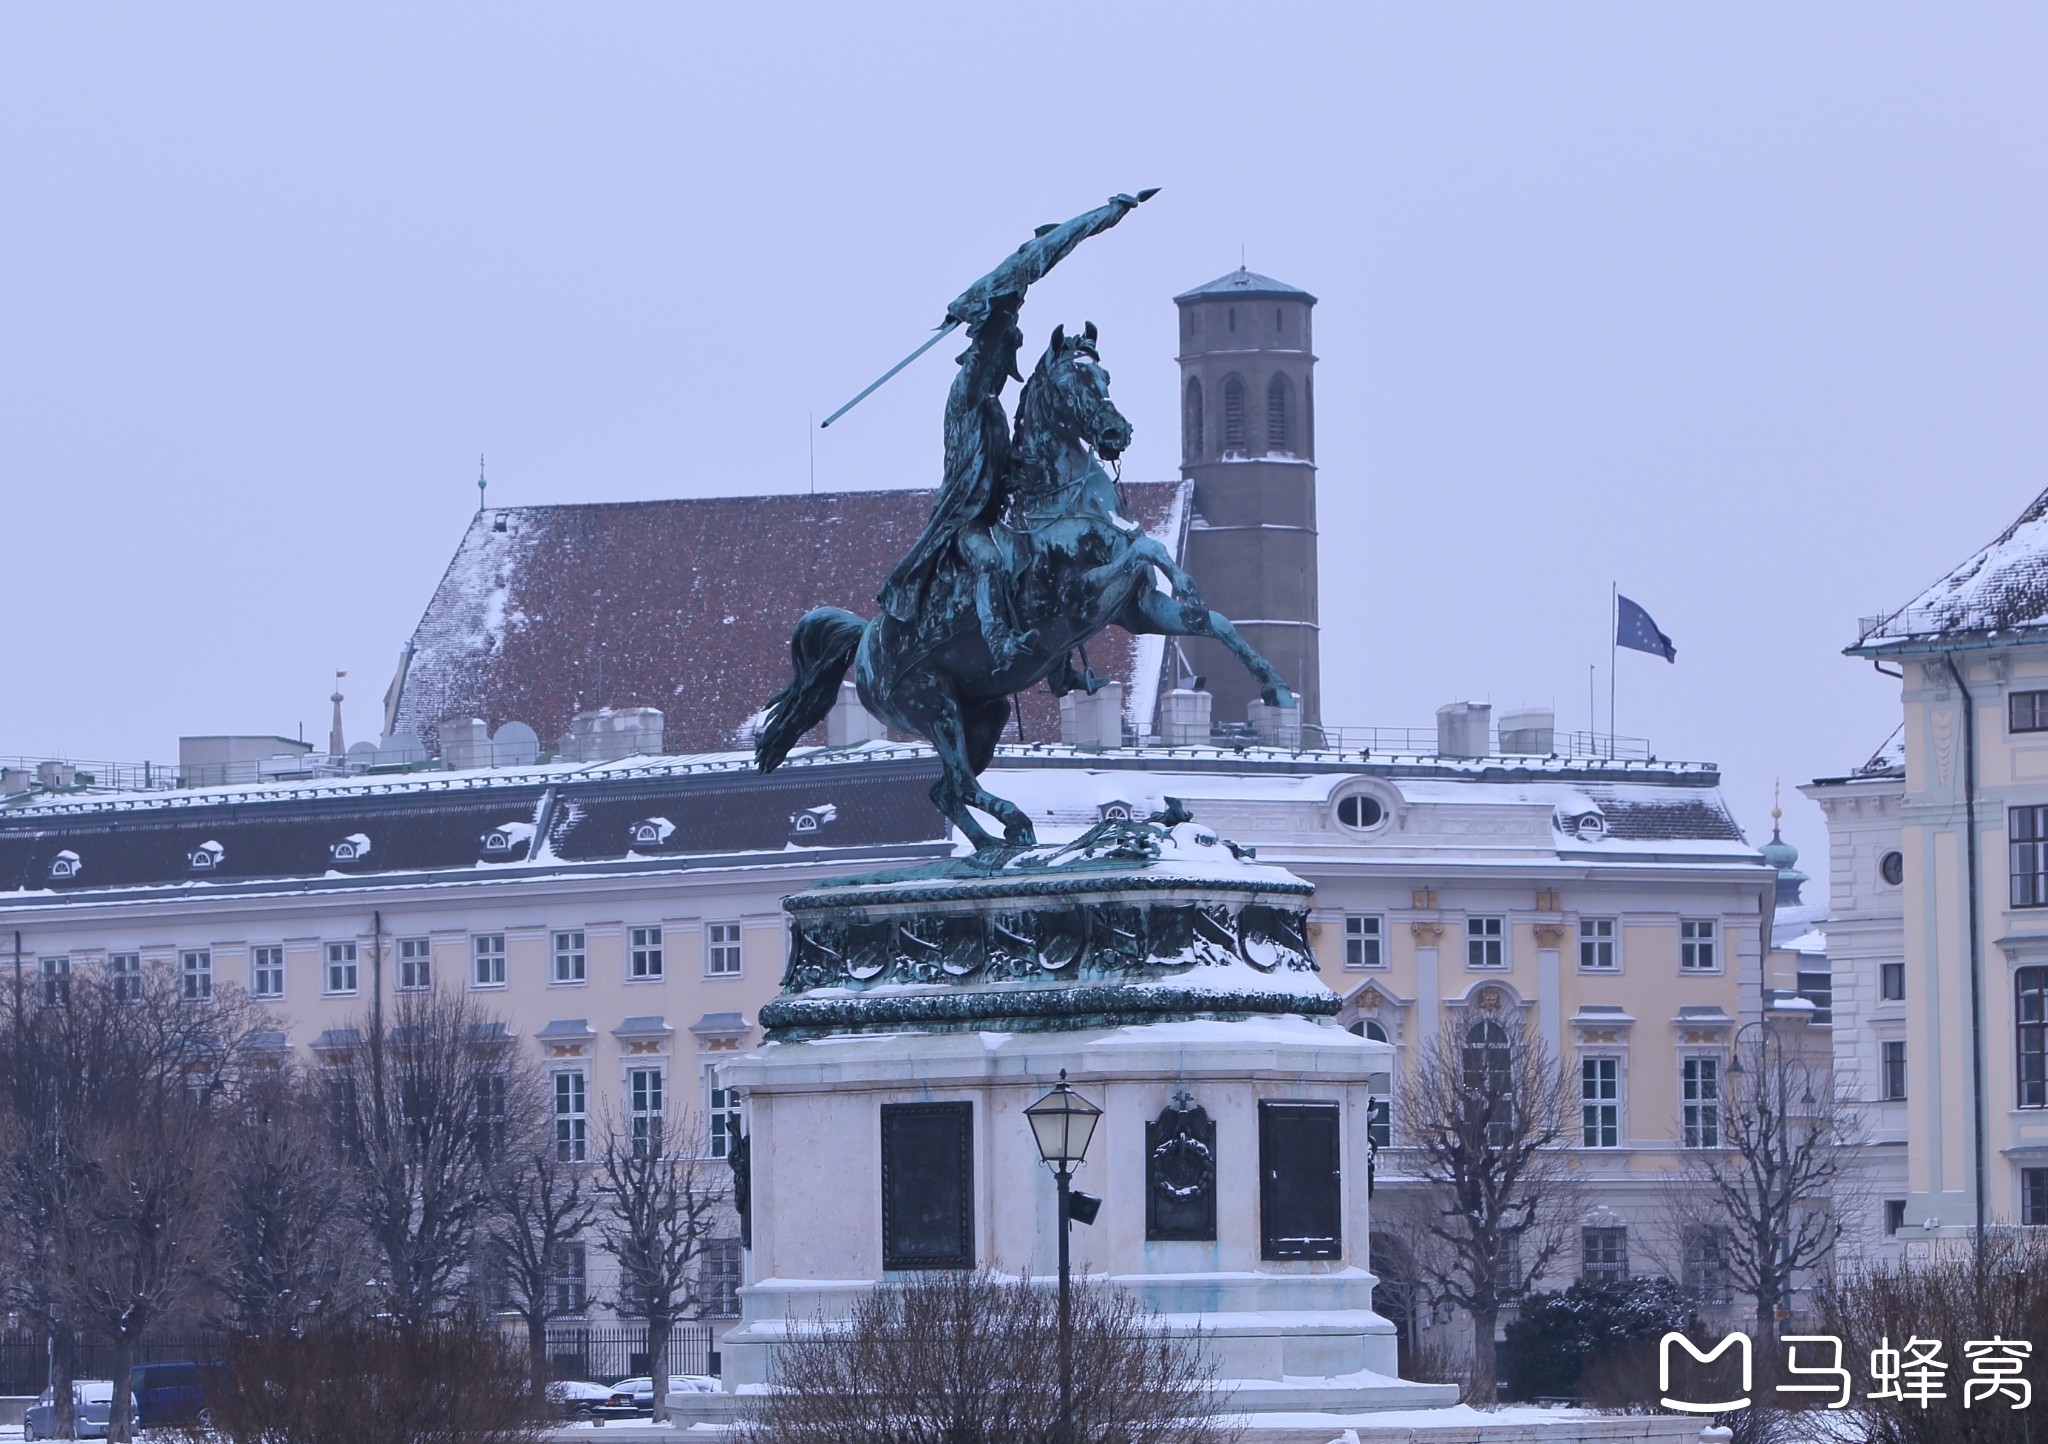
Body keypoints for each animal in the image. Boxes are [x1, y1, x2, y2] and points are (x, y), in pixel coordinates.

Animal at [761, 321, 1286, 852]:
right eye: (1074, 381)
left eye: (1105, 376)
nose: (1117, 432)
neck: (1060, 504)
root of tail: (865, 643)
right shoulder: (1077, 602)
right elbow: (1147, 546)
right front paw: (1189, 588)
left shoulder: (1136, 610)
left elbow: (1214, 619)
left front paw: (1272, 683)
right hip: (932, 703)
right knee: (960, 781)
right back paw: (1013, 823)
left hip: (984, 715)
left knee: (946, 790)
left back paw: (995, 844)